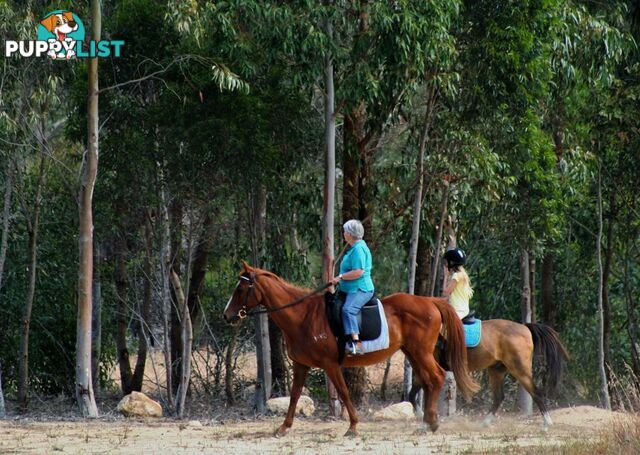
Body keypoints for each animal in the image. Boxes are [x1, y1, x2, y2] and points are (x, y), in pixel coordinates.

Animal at [222, 264, 478, 438]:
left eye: (241, 288)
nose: (227, 315)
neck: (302, 316)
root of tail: (431, 302)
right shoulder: (301, 364)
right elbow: (294, 395)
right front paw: (283, 427)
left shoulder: (330, 364)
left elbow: (344, 393)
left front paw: (353, 426)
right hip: (413, 353)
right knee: (428, 380)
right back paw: (427, 422)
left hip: (421, 352)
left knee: (436, 377)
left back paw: (431, 423)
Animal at [410, 320, 568, 428]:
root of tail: (524, 327)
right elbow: (411, 395)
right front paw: (422, 418)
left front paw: (423, 420)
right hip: (496, 370)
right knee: (499, 397)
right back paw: (484, 423)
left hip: (520, 370)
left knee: (536, 393)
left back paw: (547, 423)